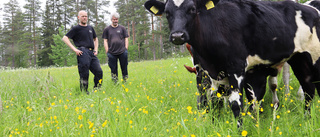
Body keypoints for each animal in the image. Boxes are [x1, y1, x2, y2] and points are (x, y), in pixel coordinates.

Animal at [146, 0, 320, 125]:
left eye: (192, 9)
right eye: (167, 12)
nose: (177, 35)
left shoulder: (236, 68)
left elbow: (237, 103)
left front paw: (240, 129)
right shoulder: (210, 72)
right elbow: (214, 101)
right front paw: (215, 125)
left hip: (314, 58)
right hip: (299, 59)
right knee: (309, 89)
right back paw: (307, 119)